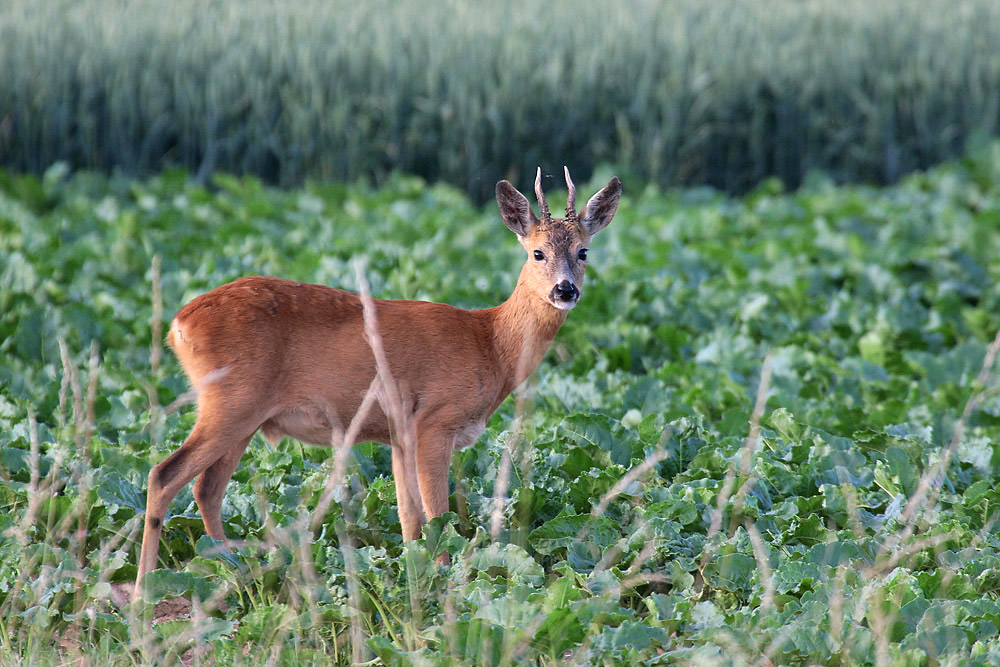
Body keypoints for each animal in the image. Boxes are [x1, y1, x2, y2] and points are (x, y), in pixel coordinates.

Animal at [133, 167, 616, 600]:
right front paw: (445, 585)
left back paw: (233, 570)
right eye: (537, 252)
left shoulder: (399, 434)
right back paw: (144, 590)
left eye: (584, 251)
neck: (490, 343)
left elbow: (409, 520)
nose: (565, 290)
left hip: (241, 414)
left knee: (206, 488)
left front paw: (416, 579)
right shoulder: (435, 422)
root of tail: (178, 324)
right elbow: (436, 516)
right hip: (232, 399)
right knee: (164, 474)